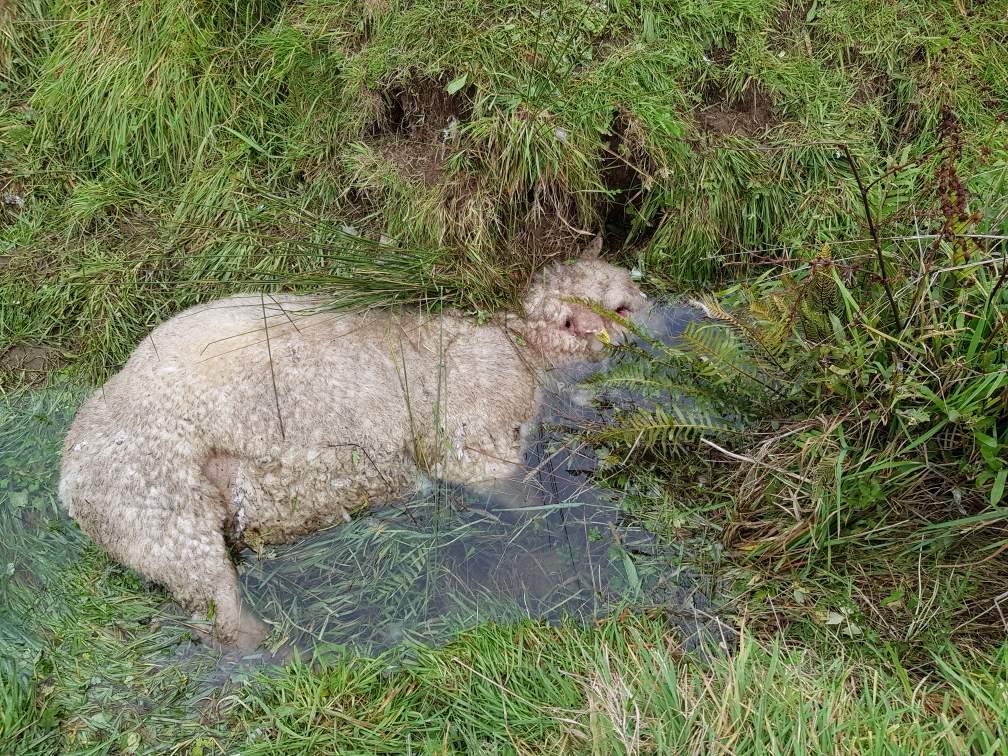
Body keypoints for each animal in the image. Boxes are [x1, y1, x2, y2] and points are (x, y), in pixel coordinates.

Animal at [58, 238, 647, 649]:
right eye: (621, 308)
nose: (666, 321)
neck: (519, 345)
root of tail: (68, 476)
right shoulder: (471, 434)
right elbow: (510, 491)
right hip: (160, 507)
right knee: (220, 614)